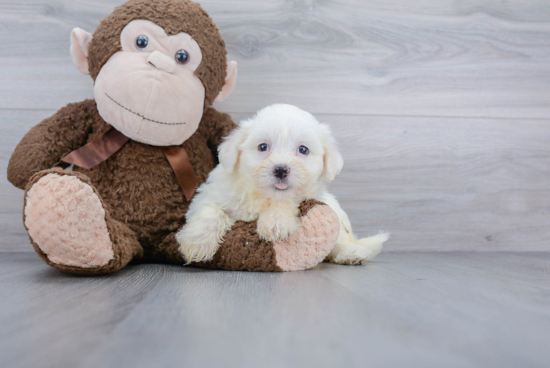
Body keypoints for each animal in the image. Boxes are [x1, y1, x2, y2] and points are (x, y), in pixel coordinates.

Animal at [177, 103, 388, 264]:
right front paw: (197, 242)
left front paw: (275, 222)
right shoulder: (210, 195)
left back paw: (352, 254)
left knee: (341, 240)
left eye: (303, 149)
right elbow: (210, 212)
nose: (280, 170)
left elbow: (286, 201)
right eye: (263, 147)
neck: (261, 196)